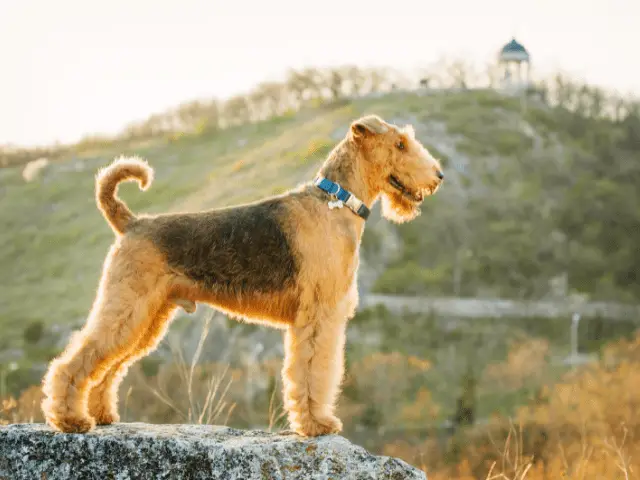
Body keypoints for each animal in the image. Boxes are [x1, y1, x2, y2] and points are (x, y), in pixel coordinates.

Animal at [40, 114, 442, 436]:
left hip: (147, 320)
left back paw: (102, 415)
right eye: (400, 144)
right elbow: (313, 371)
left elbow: (312, 372)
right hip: (128, 308)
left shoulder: (320, 316)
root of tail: (131, 222)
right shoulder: (319, 316)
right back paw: (69, 420)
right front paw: (316, 424)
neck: (337, 202)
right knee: (72, 362)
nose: (438, 176)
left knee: (108, 367)